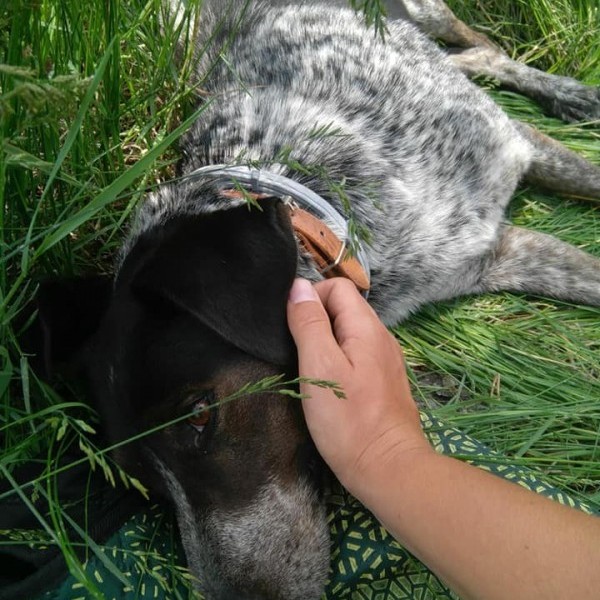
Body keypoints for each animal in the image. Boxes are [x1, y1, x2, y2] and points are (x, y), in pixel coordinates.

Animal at [38, 1, 600, 600]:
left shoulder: (517, 150)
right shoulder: (499, 254)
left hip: (427, 15)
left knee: (482, 45)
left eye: (200, 414)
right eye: (145, 483)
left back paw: (569, 94)